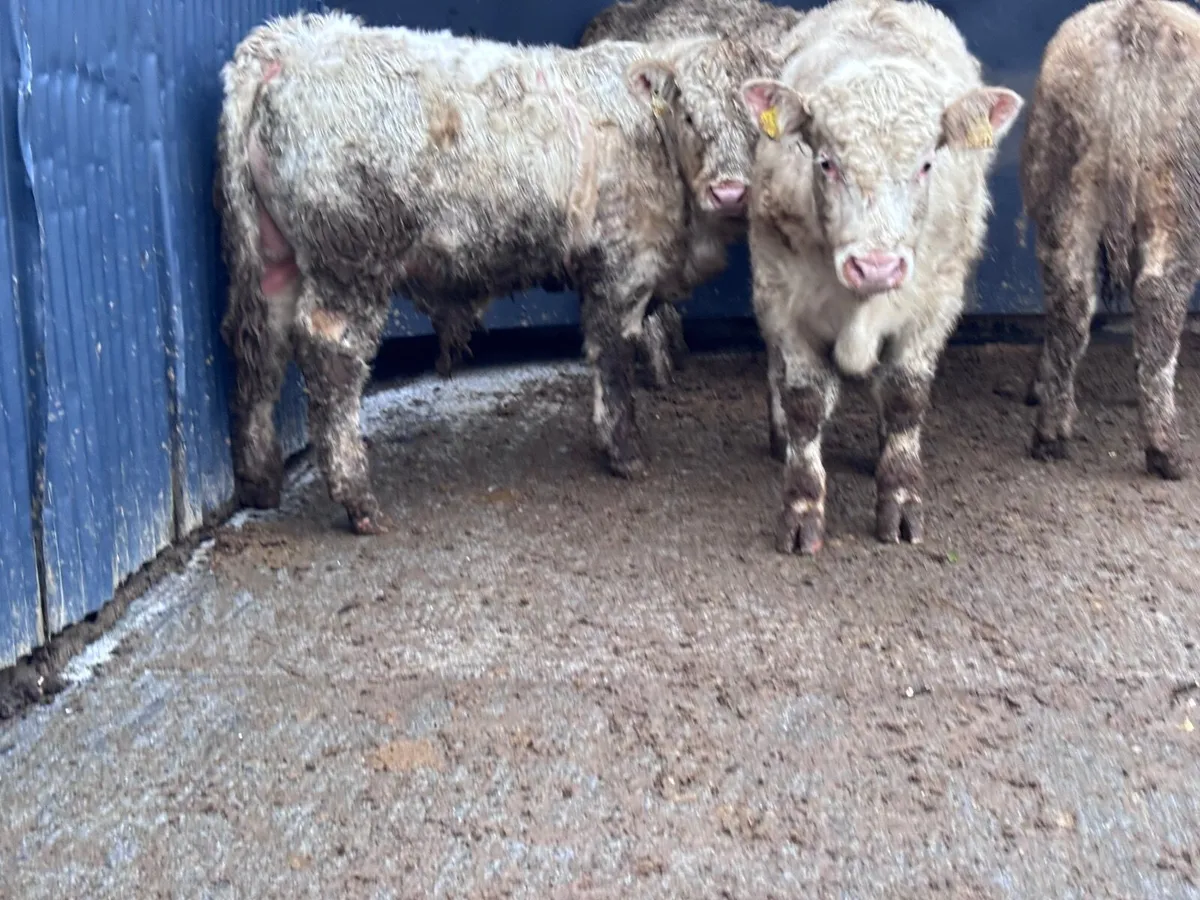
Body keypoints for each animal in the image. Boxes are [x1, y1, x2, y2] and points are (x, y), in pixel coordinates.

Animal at [215, 11, 772, 533]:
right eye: (689, 115)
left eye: (756, 129)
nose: (729, 191)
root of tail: (290, 42)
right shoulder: (620, 265)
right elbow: (612, 358)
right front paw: (625, 452)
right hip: (351, 262)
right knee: (332, 358)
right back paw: (358, 500)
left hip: (275, 260)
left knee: (262, 348)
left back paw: (261, 481)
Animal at [740, 0, 1023, 553]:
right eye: (826, 162)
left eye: (927, 164)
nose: (876, 266)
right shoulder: (782, 299)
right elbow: (805, 403)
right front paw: (802, 505)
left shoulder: (932, 305)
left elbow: (904, 397)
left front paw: (901, 497)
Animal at [1023, 0, 1200, 481]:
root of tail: (1135, 25)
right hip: (1178, 195)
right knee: (1159, 302)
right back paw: (1165, 451)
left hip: (1064, 189)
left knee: (1070, 301)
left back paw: (1051, 431)